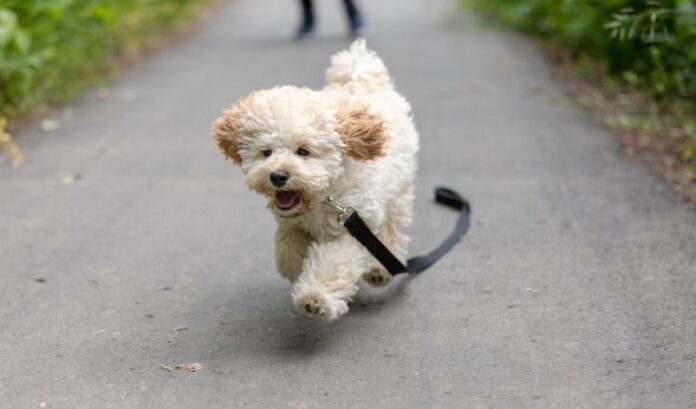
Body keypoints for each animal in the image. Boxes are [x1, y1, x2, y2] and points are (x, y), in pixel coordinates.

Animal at [212, 39, 418, 318]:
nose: (278, 176)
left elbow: (333, 263)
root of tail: (360, 75)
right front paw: (297, 269)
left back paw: (379, 270)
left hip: (397, 192)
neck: (323, 195)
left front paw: (314, 297)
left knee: (391, 230)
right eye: (266, 152)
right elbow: (288, 249)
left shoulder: (352, 226)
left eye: (303, 151)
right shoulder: (292, 224)